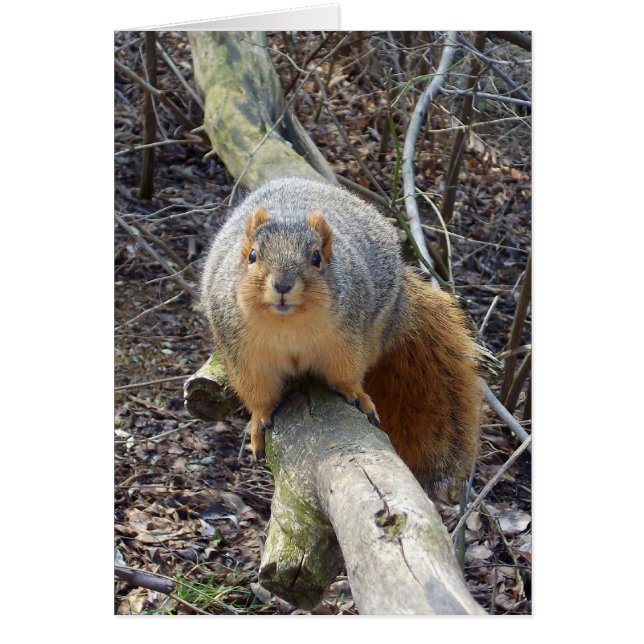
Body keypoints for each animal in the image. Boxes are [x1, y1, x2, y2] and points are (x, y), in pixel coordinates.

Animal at [201, 177, 482, 490]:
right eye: (252, 255)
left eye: (316, 257)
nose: (283, 284)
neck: (287, 325)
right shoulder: (243, 355)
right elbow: (258, 392)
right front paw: (258, 419)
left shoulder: (347, 341)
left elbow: (346, 373)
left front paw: (355, 393)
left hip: (375, 333)